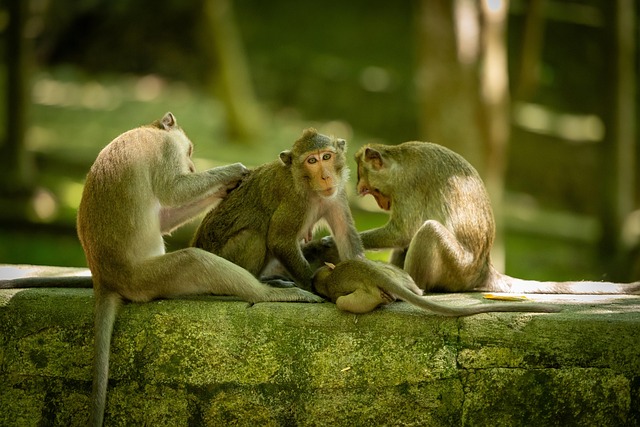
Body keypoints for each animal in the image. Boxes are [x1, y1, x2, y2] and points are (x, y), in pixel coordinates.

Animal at [1, 113, 323, 427]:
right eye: (189, 151)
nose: (192, 165)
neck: (149, 129)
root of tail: (105, 279)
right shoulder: (164, 151)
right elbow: (174, 191)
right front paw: (234, 172)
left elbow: (166, 217)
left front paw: (226, 188)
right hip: (149, 278)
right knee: (194, 260)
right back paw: (267, 293)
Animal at [191, 128, 364, 291]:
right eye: (312, 160)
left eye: (327, 157)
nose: (326, 177)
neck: (308, 187)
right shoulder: (293, 199)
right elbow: (279, 241)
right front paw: (315, 288)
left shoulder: (337, 193)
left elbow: (345, 235)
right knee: (253, 235)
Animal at [353, 140, 640, 295]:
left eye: (370, 189)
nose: (377, 201)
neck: (399, 161)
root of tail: (483, 270)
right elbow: (403, 237)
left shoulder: (409, 186)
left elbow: (402, 231)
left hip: (457, 268)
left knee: (427, 230)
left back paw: (414, 287)